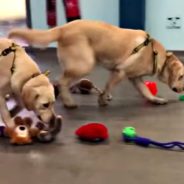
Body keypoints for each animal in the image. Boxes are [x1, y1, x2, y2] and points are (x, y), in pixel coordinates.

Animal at [8, 19, 184, 108]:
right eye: (182, 76)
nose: (182, 90)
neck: (154, 53)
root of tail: (62, 28)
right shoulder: (119, 72)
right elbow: (107, 88)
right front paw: (102, 100)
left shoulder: (135, 78)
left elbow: (146, 91)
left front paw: (156, 100)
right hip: (85, 64)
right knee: (62, 81)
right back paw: (68, 102)